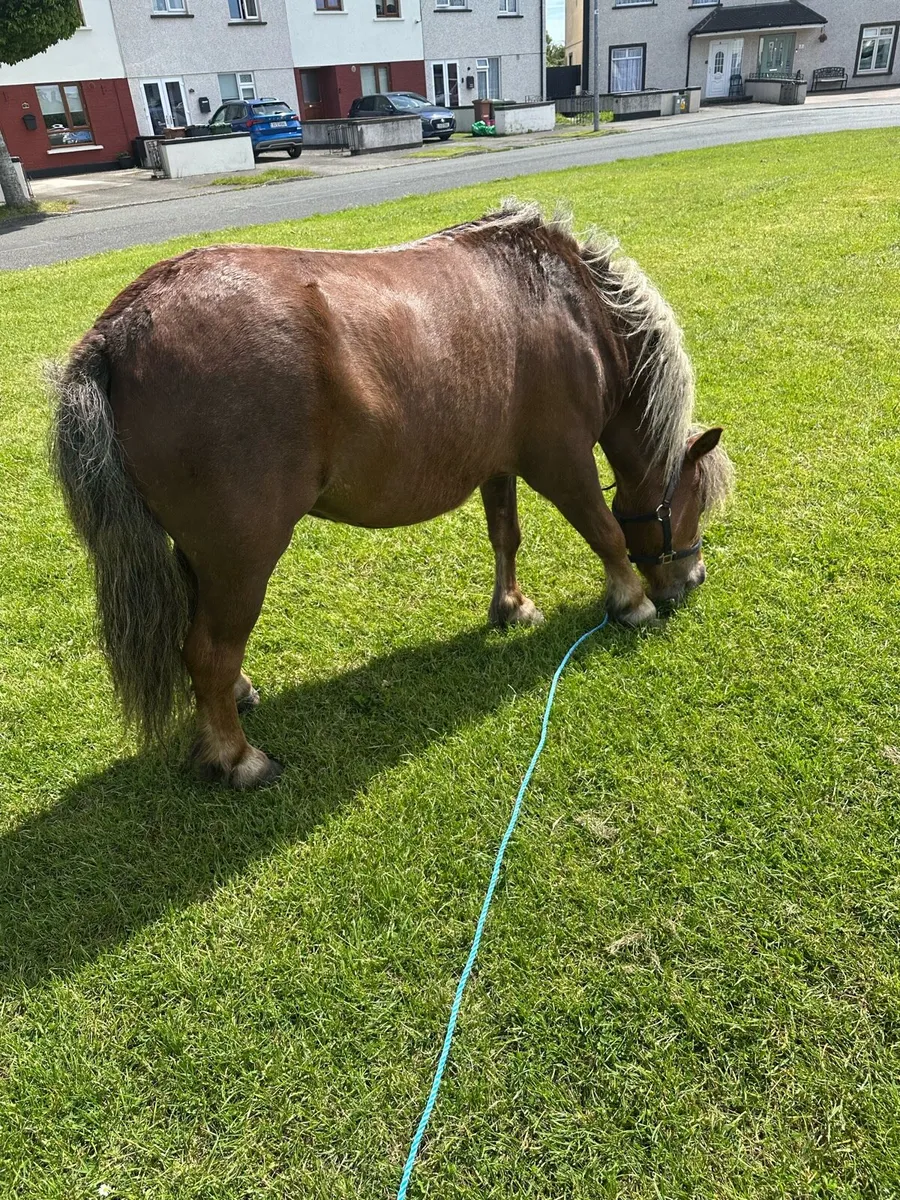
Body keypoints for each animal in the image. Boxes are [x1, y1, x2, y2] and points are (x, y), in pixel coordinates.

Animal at [51, 202, 733, 789]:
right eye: (694, 502)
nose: (691, 580)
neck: (572, 307)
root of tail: (119, 329)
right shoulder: (561, 463)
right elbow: (606, 530)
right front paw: (631, 601)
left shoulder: (498, 464)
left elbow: (506, 536)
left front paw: (511, 606)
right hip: (241, 555)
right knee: (208, 651)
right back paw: (238, 757)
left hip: (202, 555)